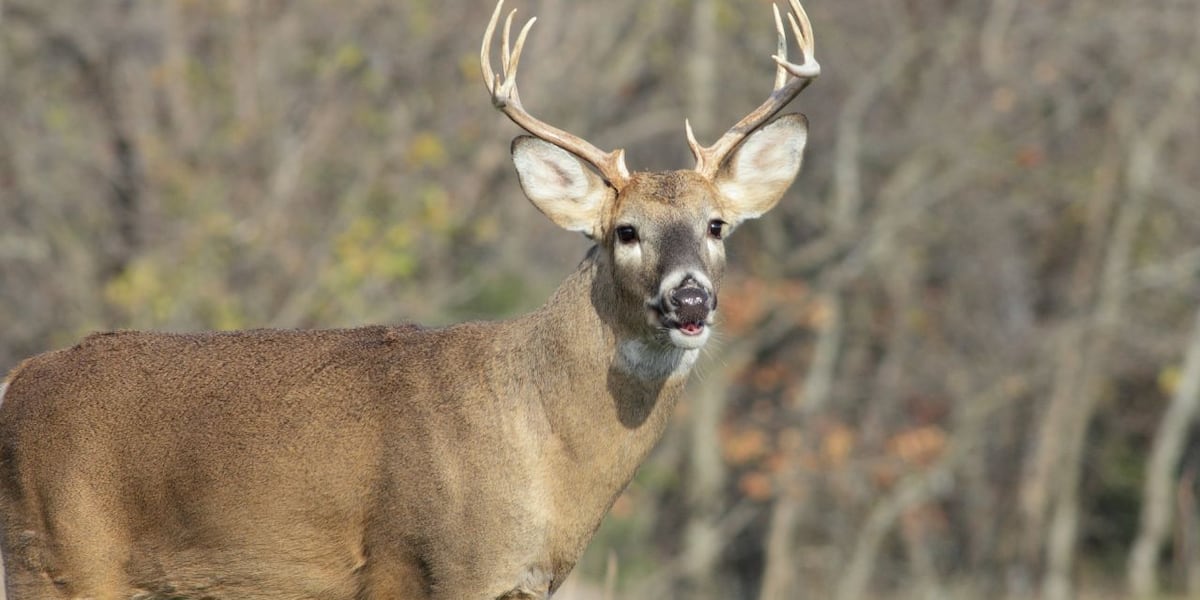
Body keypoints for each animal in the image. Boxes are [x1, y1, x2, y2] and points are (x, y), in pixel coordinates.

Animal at [0, 2, 816, 597]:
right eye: (625, 231)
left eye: (716, 225)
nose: (690, 298)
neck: (543, 453)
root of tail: (18, 379)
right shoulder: (426, 562)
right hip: (61, 557)